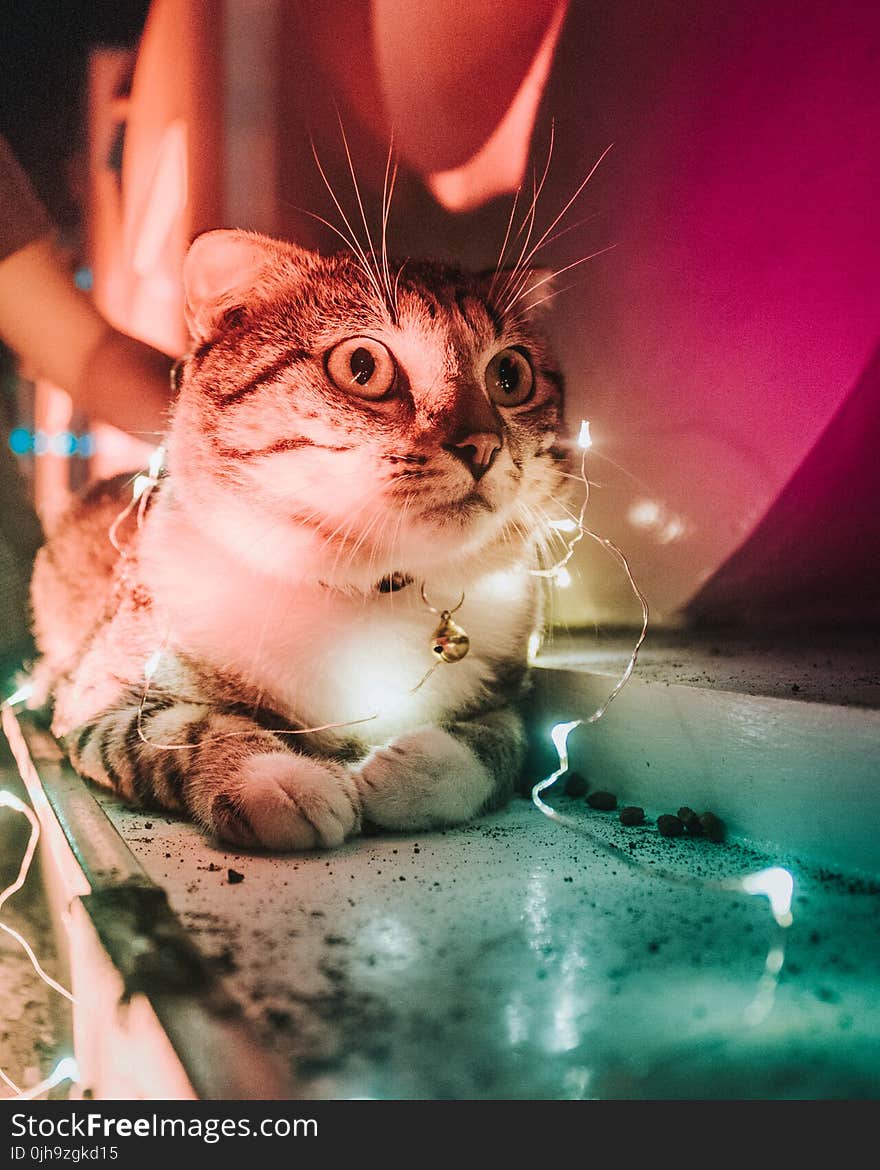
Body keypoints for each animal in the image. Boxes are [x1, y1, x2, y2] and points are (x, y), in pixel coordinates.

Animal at [29, 230, 571, 851]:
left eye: (510, 375)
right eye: (362, 366)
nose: (482, 445)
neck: (365, 592)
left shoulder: (510, 689)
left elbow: (504, 741)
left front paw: (415, 770)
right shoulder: (95, 701)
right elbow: (191, 728)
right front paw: (278, 778)